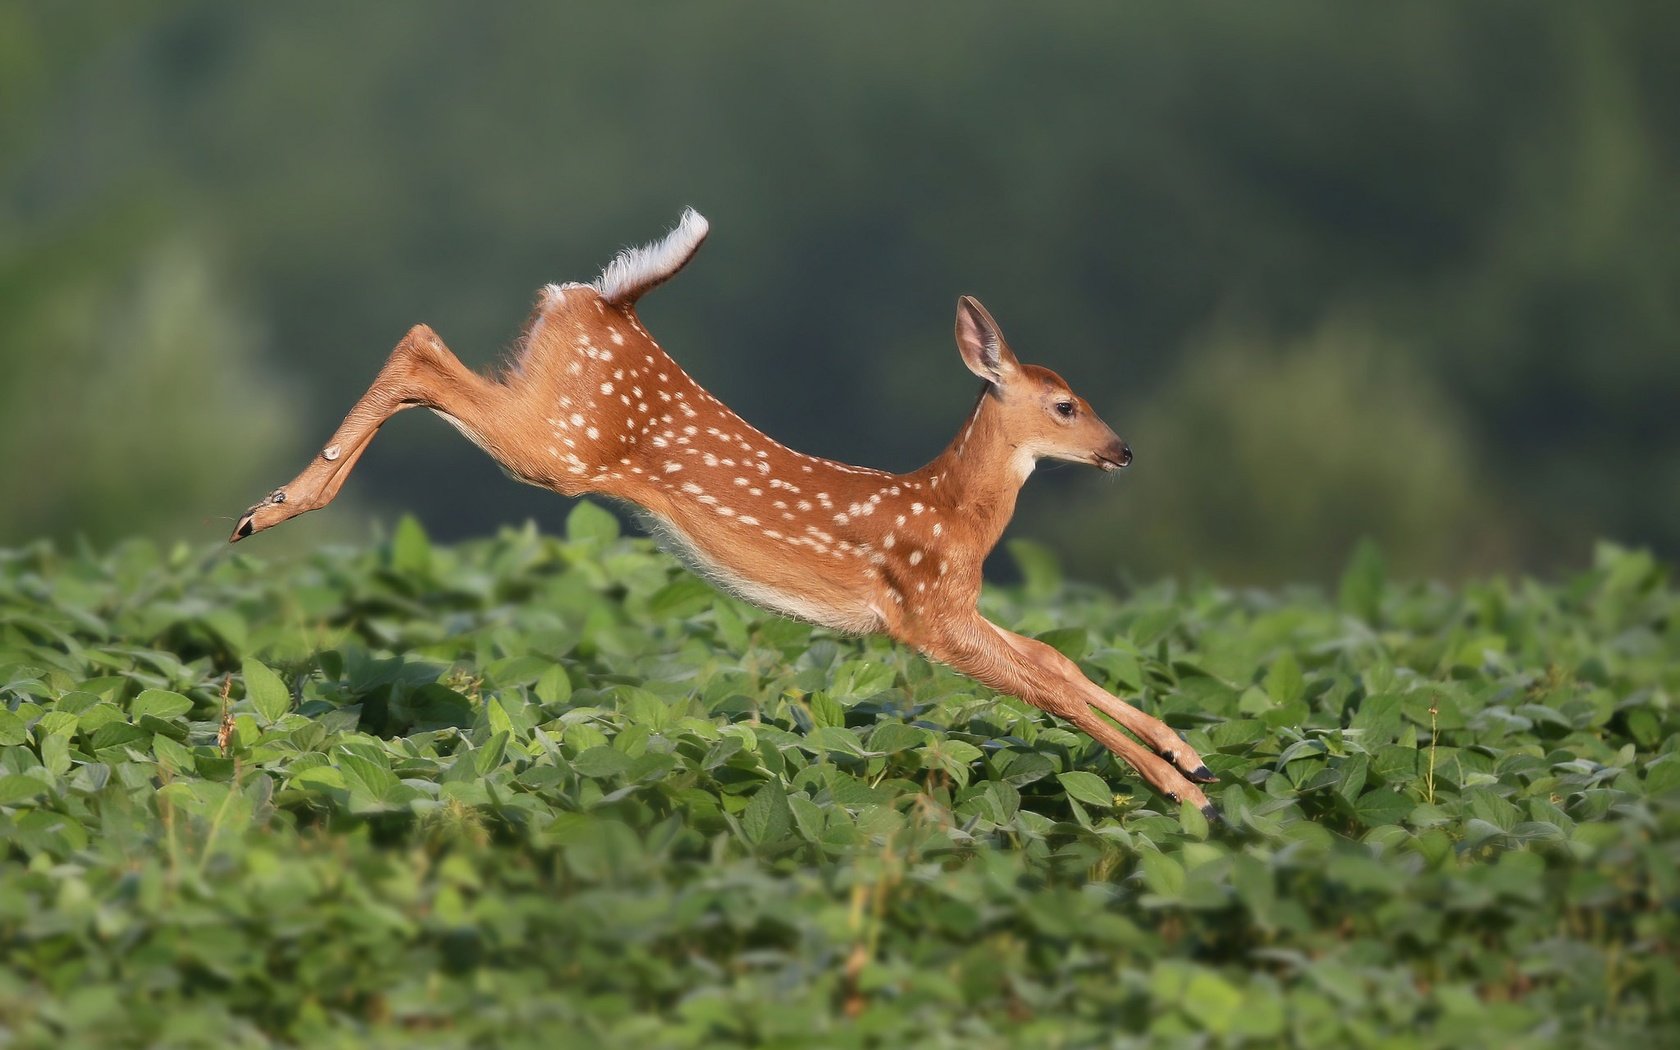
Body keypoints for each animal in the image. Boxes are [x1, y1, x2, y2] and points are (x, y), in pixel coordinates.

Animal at [230, 210, 1216, 809]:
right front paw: (1187, 794)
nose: (1124, 451)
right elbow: (1046, 687)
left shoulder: (954, 605)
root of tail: (610, 299)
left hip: (547, 407)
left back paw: (271, 505)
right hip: (560, 447)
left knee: (426, 348)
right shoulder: (925, 611)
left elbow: (1054, 657)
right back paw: (272, 508)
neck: (955, 516)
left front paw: (1188, 752)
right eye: (1065, 405)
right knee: (422, 345)